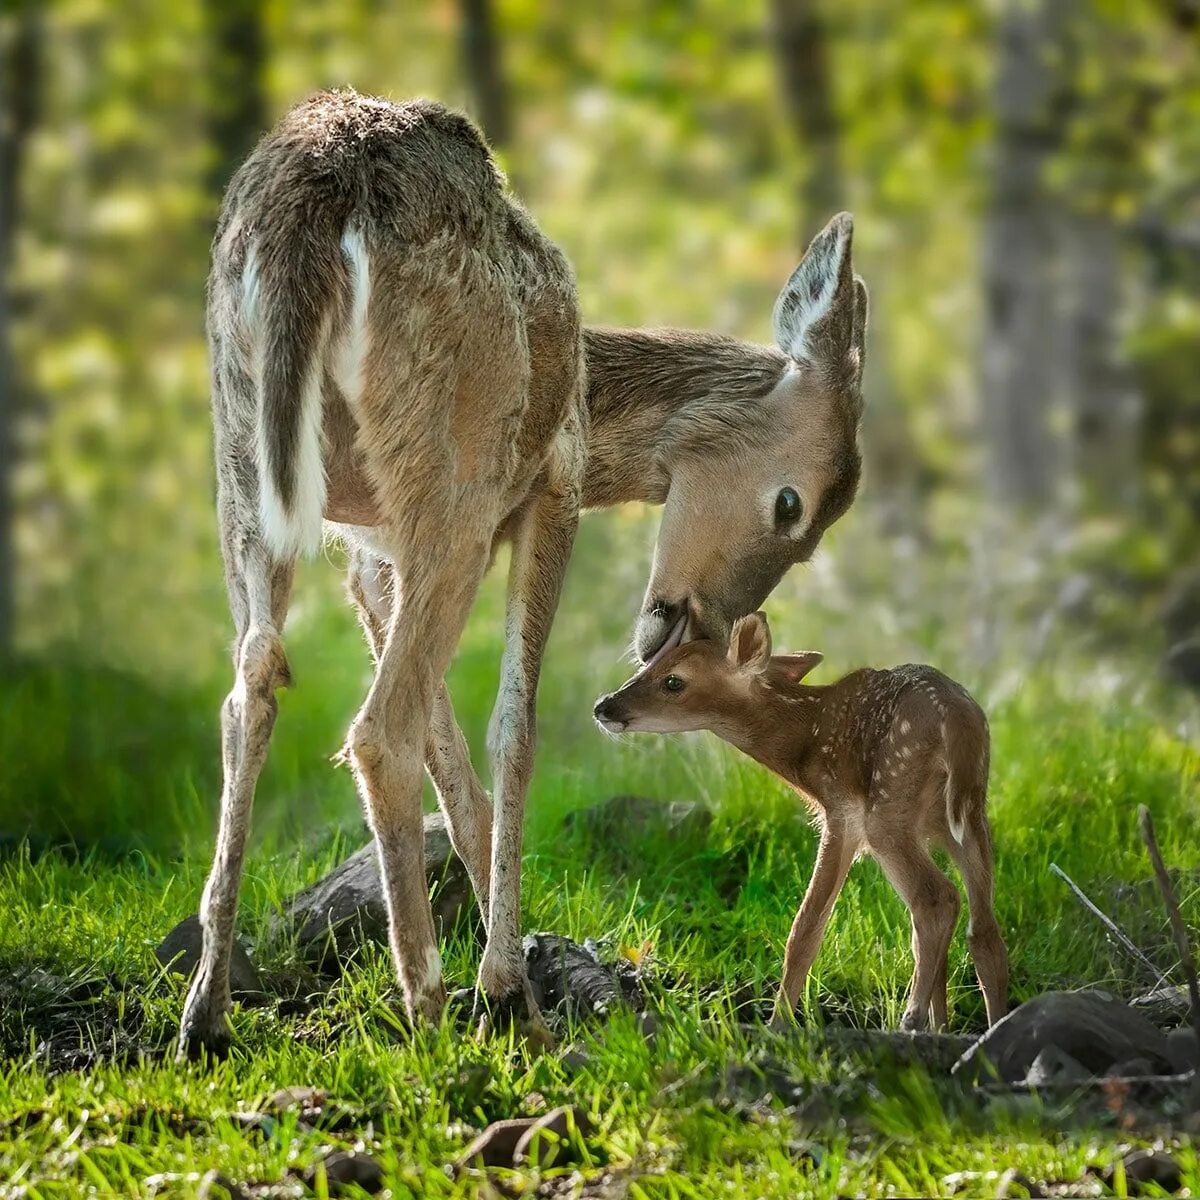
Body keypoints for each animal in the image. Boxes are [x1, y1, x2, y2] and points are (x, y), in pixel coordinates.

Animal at [180, 88, 873, 1056]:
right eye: (792, 508)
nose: (690, 625)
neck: (590, 391)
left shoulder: (368, 554)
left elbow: (453, 754)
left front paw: (528, 978)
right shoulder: (555, 484)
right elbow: (514, 726)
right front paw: (510, 989)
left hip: (243, 461)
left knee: (250, 691)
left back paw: (205, 1009)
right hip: (454, 471)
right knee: (378, 728)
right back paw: (427, 1008)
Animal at [595, 614, 1008, 1027]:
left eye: (673, 680)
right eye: (648, 665)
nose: (604, 705)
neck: (805, 744)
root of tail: (956, 720)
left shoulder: (840, 813)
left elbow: (806, 926)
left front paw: (777, 1024)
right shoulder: (924, 829)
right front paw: (943, 1026)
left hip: (889, 805)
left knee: (937, 899)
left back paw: (911, 1016)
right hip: (970, 814)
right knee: (983, 928)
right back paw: (991, 1023)